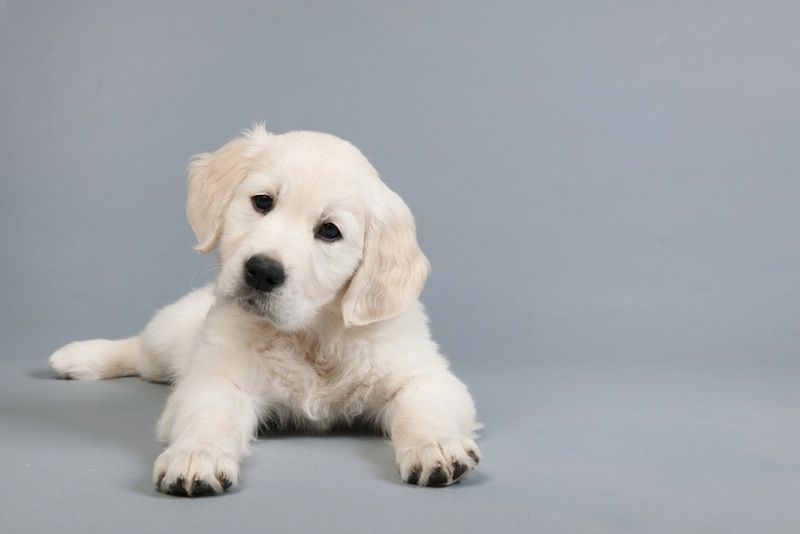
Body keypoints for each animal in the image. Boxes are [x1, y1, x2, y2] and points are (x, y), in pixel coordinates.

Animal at [50, 126, 482, 498]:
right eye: (262, 202)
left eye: (329, 231)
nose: (261, 271)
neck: (311, 335)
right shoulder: (217, 379)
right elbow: (210, 416)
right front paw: (196, 456)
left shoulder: (425, 376)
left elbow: (421, 410)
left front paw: (436, 446)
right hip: (169, 339)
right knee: (139, 348)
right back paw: (77, 357)